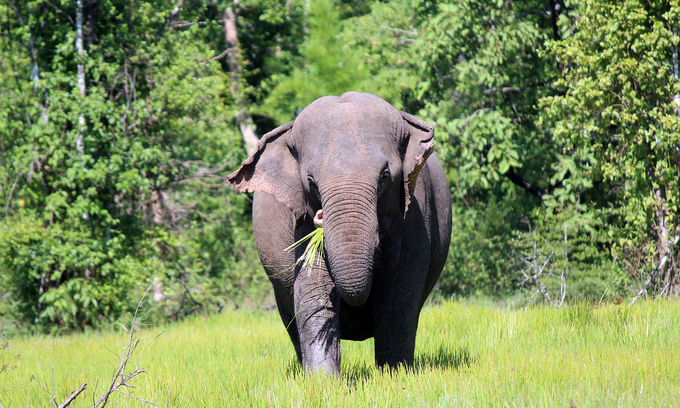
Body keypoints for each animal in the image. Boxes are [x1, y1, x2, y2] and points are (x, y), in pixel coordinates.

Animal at [227, 91, 452, 374]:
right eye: (311, 182)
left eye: (385, 175)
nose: (322, 215)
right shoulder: (301, 220)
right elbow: (313, 288)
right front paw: (322, 381)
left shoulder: (416, 209)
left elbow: (399, 297)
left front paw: (394, 374)